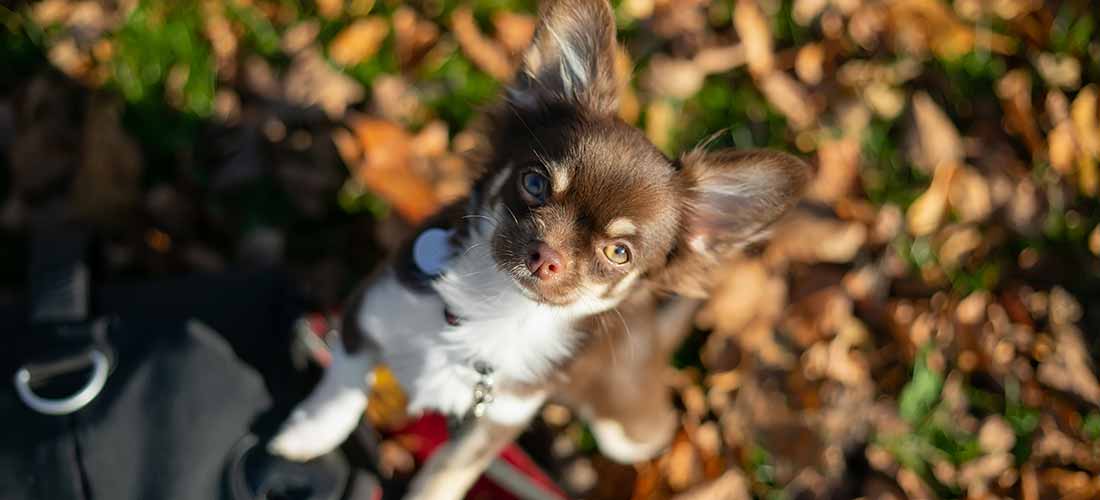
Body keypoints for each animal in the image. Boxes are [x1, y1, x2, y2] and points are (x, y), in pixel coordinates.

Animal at [270, 0, 809, 498]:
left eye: (619, 253)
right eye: (534, 183)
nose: (545, 256)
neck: (494, 306)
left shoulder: (494, 422)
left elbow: (442, 479)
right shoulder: (371, 312)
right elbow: (342, 388)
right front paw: (307, 436)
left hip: (627, 430)